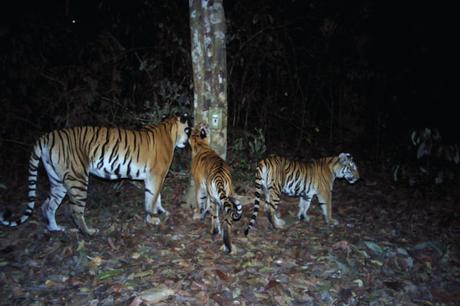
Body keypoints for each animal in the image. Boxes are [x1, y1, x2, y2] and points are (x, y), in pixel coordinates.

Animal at [0, 113, 192, 235]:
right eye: (188, 129)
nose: (188, 142)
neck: (168, 129)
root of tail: (46, 137)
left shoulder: (154, 177)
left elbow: (155, 196)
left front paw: (160, 212)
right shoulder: (156, 175)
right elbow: (152, 197)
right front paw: (153, 218)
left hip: (57, 180)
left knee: (47, 205)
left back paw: (55, 229)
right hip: (77, 178)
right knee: (75, 210)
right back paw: (89, 232)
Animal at [189, 122, 243, 253]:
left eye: (200, 125)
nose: (205, 123)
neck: (201, 145)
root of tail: (219, 176)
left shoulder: (199, 185)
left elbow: (201, 201)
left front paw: (199, 214)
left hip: (213, 196)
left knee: (214, 215)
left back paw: (213, 231)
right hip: (228, 195)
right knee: (227, 218)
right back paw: (226, 240)